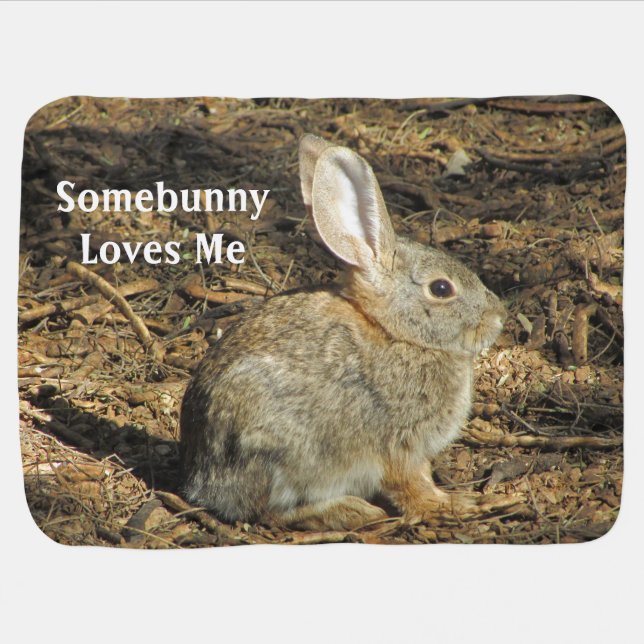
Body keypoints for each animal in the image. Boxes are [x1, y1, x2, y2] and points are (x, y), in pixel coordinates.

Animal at [179, 134, 507, 531]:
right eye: (441, 289)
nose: (498, 317)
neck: (397, 334)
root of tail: (203, 483)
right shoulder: (399, 444)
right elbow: (412, 485)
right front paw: (451, 504)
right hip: (286, 455)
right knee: (271, 513)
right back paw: (352, 510)